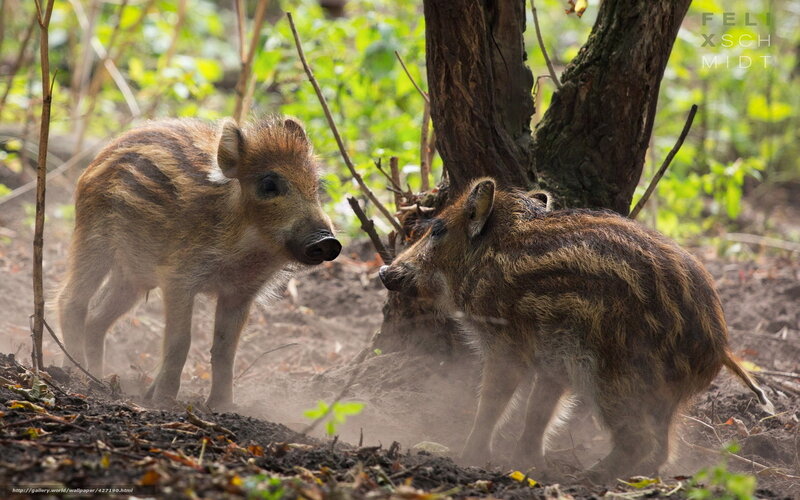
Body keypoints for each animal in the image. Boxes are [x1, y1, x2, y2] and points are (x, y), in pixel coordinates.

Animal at [57, 116, 341, 407]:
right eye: (269, 184)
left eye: (317, 186)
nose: (328, 240)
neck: (245, 250)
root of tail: (102, 154)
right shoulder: (179, 279)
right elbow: (180, 342)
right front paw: (164, 403)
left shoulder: (241, 293)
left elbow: (226, 350)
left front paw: (222, 406)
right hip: (93, 238)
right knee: (70, 301)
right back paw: (75, 374)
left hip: (133, 276)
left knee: (96, 319)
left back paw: (98, 379)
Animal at [379, 177, 770, 482]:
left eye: (438, 229)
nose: (384, 272)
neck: (486, 260)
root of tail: (717, 346)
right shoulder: (555, 364)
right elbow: (539, 412)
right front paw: (527, 462)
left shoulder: (507, 346)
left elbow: (493, 402)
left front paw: (469, 455)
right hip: (661, 396)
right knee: (663, 448)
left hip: (613, 377)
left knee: (639, 440)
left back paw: (588, 477)